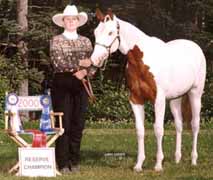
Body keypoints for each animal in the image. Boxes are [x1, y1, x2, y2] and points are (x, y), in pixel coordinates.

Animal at [90, 8, 206, 172]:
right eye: (95, 32)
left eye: (110, 32)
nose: (95, 60)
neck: (141, 61)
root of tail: (195, 47)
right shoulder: (136, 100)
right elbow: (140, 130)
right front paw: (139, 165)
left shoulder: (158, 100)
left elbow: (158, 129)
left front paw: (158, 165)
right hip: (175, 99)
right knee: (179, 125)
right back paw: (177, 159)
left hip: (195, 94)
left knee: (195, 125)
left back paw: (193, 160)